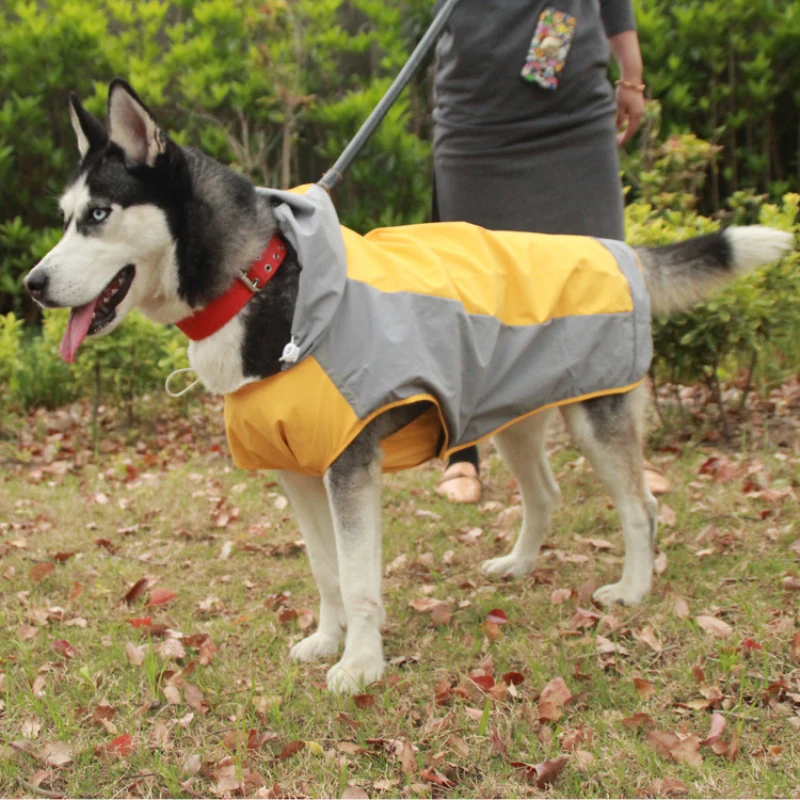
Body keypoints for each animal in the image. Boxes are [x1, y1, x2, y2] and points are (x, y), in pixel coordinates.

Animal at [26, 83, 792, 692]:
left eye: (98, 214)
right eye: (65, 216)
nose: (32, 284)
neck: (261, 279)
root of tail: (618, 249)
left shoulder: (350, 467)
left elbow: (360, 578)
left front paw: (361, 666)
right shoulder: (298, 474)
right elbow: (328, 572)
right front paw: (328, 642)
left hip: (594, 418)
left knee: (641, 509)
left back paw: (632, 588)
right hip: (511, 417)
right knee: (545, 494)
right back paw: (519, 566)